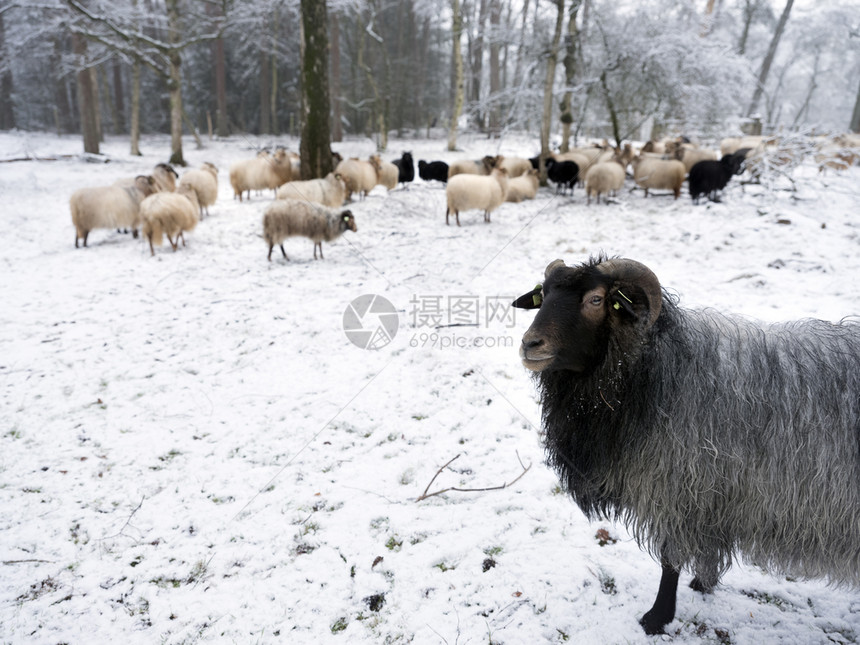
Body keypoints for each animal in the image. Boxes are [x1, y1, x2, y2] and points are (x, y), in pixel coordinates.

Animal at [510, 255, 860, 632]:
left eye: (596, 299)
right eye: (543, 295)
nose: (530, 344)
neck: (652, 373)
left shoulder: (680, 484)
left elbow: (669, 558)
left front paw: (657, 617)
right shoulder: (714, 494)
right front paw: (703, 583)